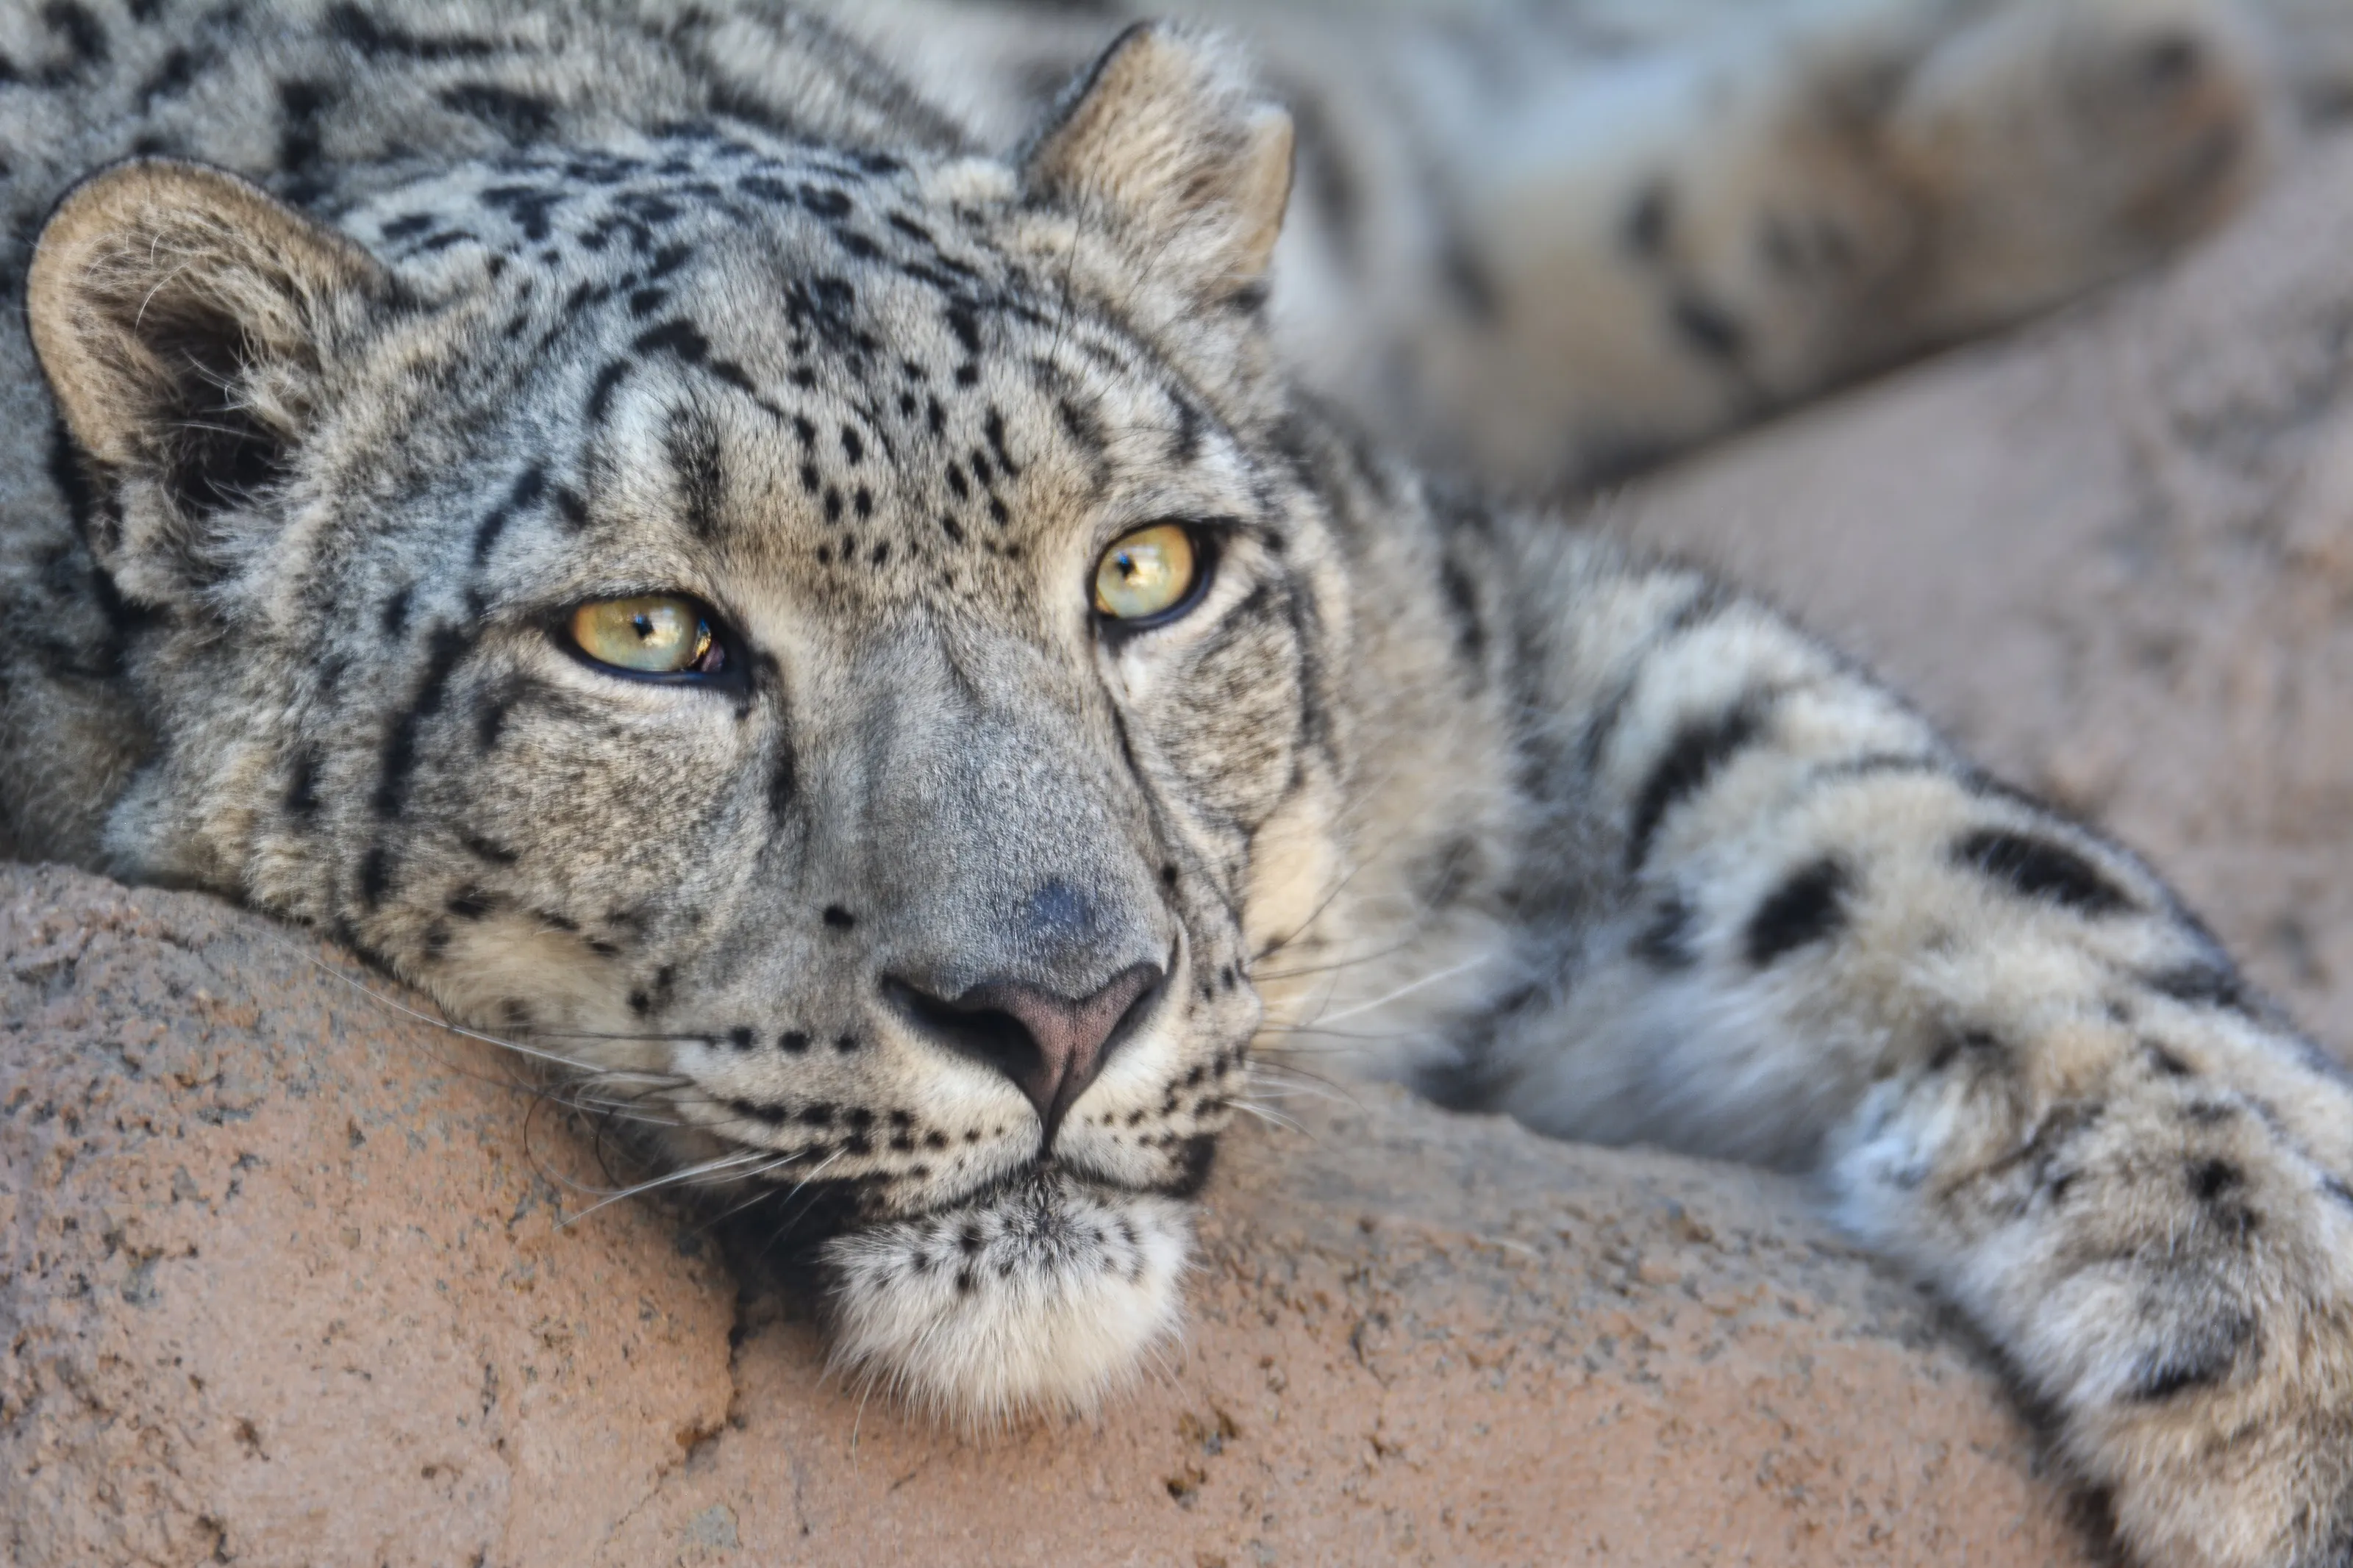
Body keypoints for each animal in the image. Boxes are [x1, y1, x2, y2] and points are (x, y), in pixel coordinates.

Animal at [5, 1, 2353, 1565]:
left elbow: (1920, 833)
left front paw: (2302, 1354)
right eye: (647, 634)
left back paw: (2158, 101)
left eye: (1147, 568)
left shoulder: (1487, 654)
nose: (1061, 1005)